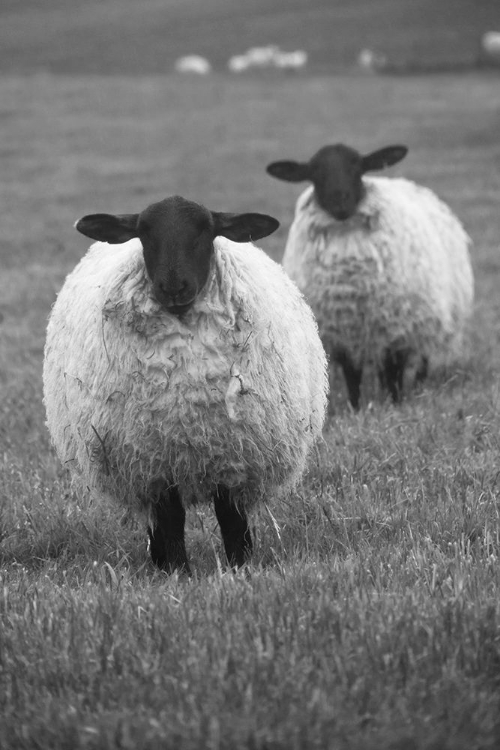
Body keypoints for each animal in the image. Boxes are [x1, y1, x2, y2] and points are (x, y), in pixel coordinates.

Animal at [44, 194, 328, 576]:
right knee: (155, 520)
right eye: (143, 232)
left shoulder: (232, 456)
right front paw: (179, 573)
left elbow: (231, 519)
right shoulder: (157, 462)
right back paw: (161, 564)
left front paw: (240, 567)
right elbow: (171, 519)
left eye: (207, 229)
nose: (173, 287)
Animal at [266, 145, 472, 412]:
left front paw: (395, 403)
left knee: (421, 359)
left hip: (428, 319)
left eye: (358, 166)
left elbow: (394, 371)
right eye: (315, 172)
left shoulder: (394, 329)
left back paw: (417, 389)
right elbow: (352, 375)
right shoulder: (343, 331)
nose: (340, 203)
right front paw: (356, 408)